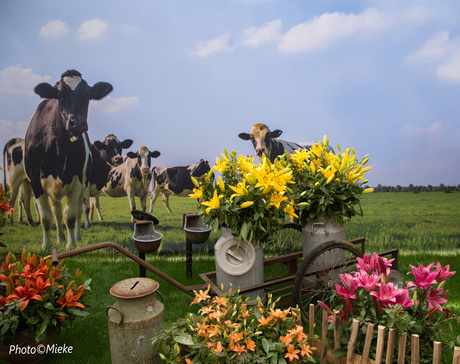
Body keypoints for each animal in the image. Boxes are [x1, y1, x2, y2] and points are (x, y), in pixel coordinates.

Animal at [23, 69, 113, 249]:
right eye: (60, 96)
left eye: (87, 96)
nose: (76, 123)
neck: (58, 148)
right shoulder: (35, 180)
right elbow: (46, 218)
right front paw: (46, 245)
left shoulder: (77, 180)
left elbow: (70, 216)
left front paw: (71, 245)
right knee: (56, 211)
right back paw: (59, 238)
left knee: (76, 211)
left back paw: (73, 238)